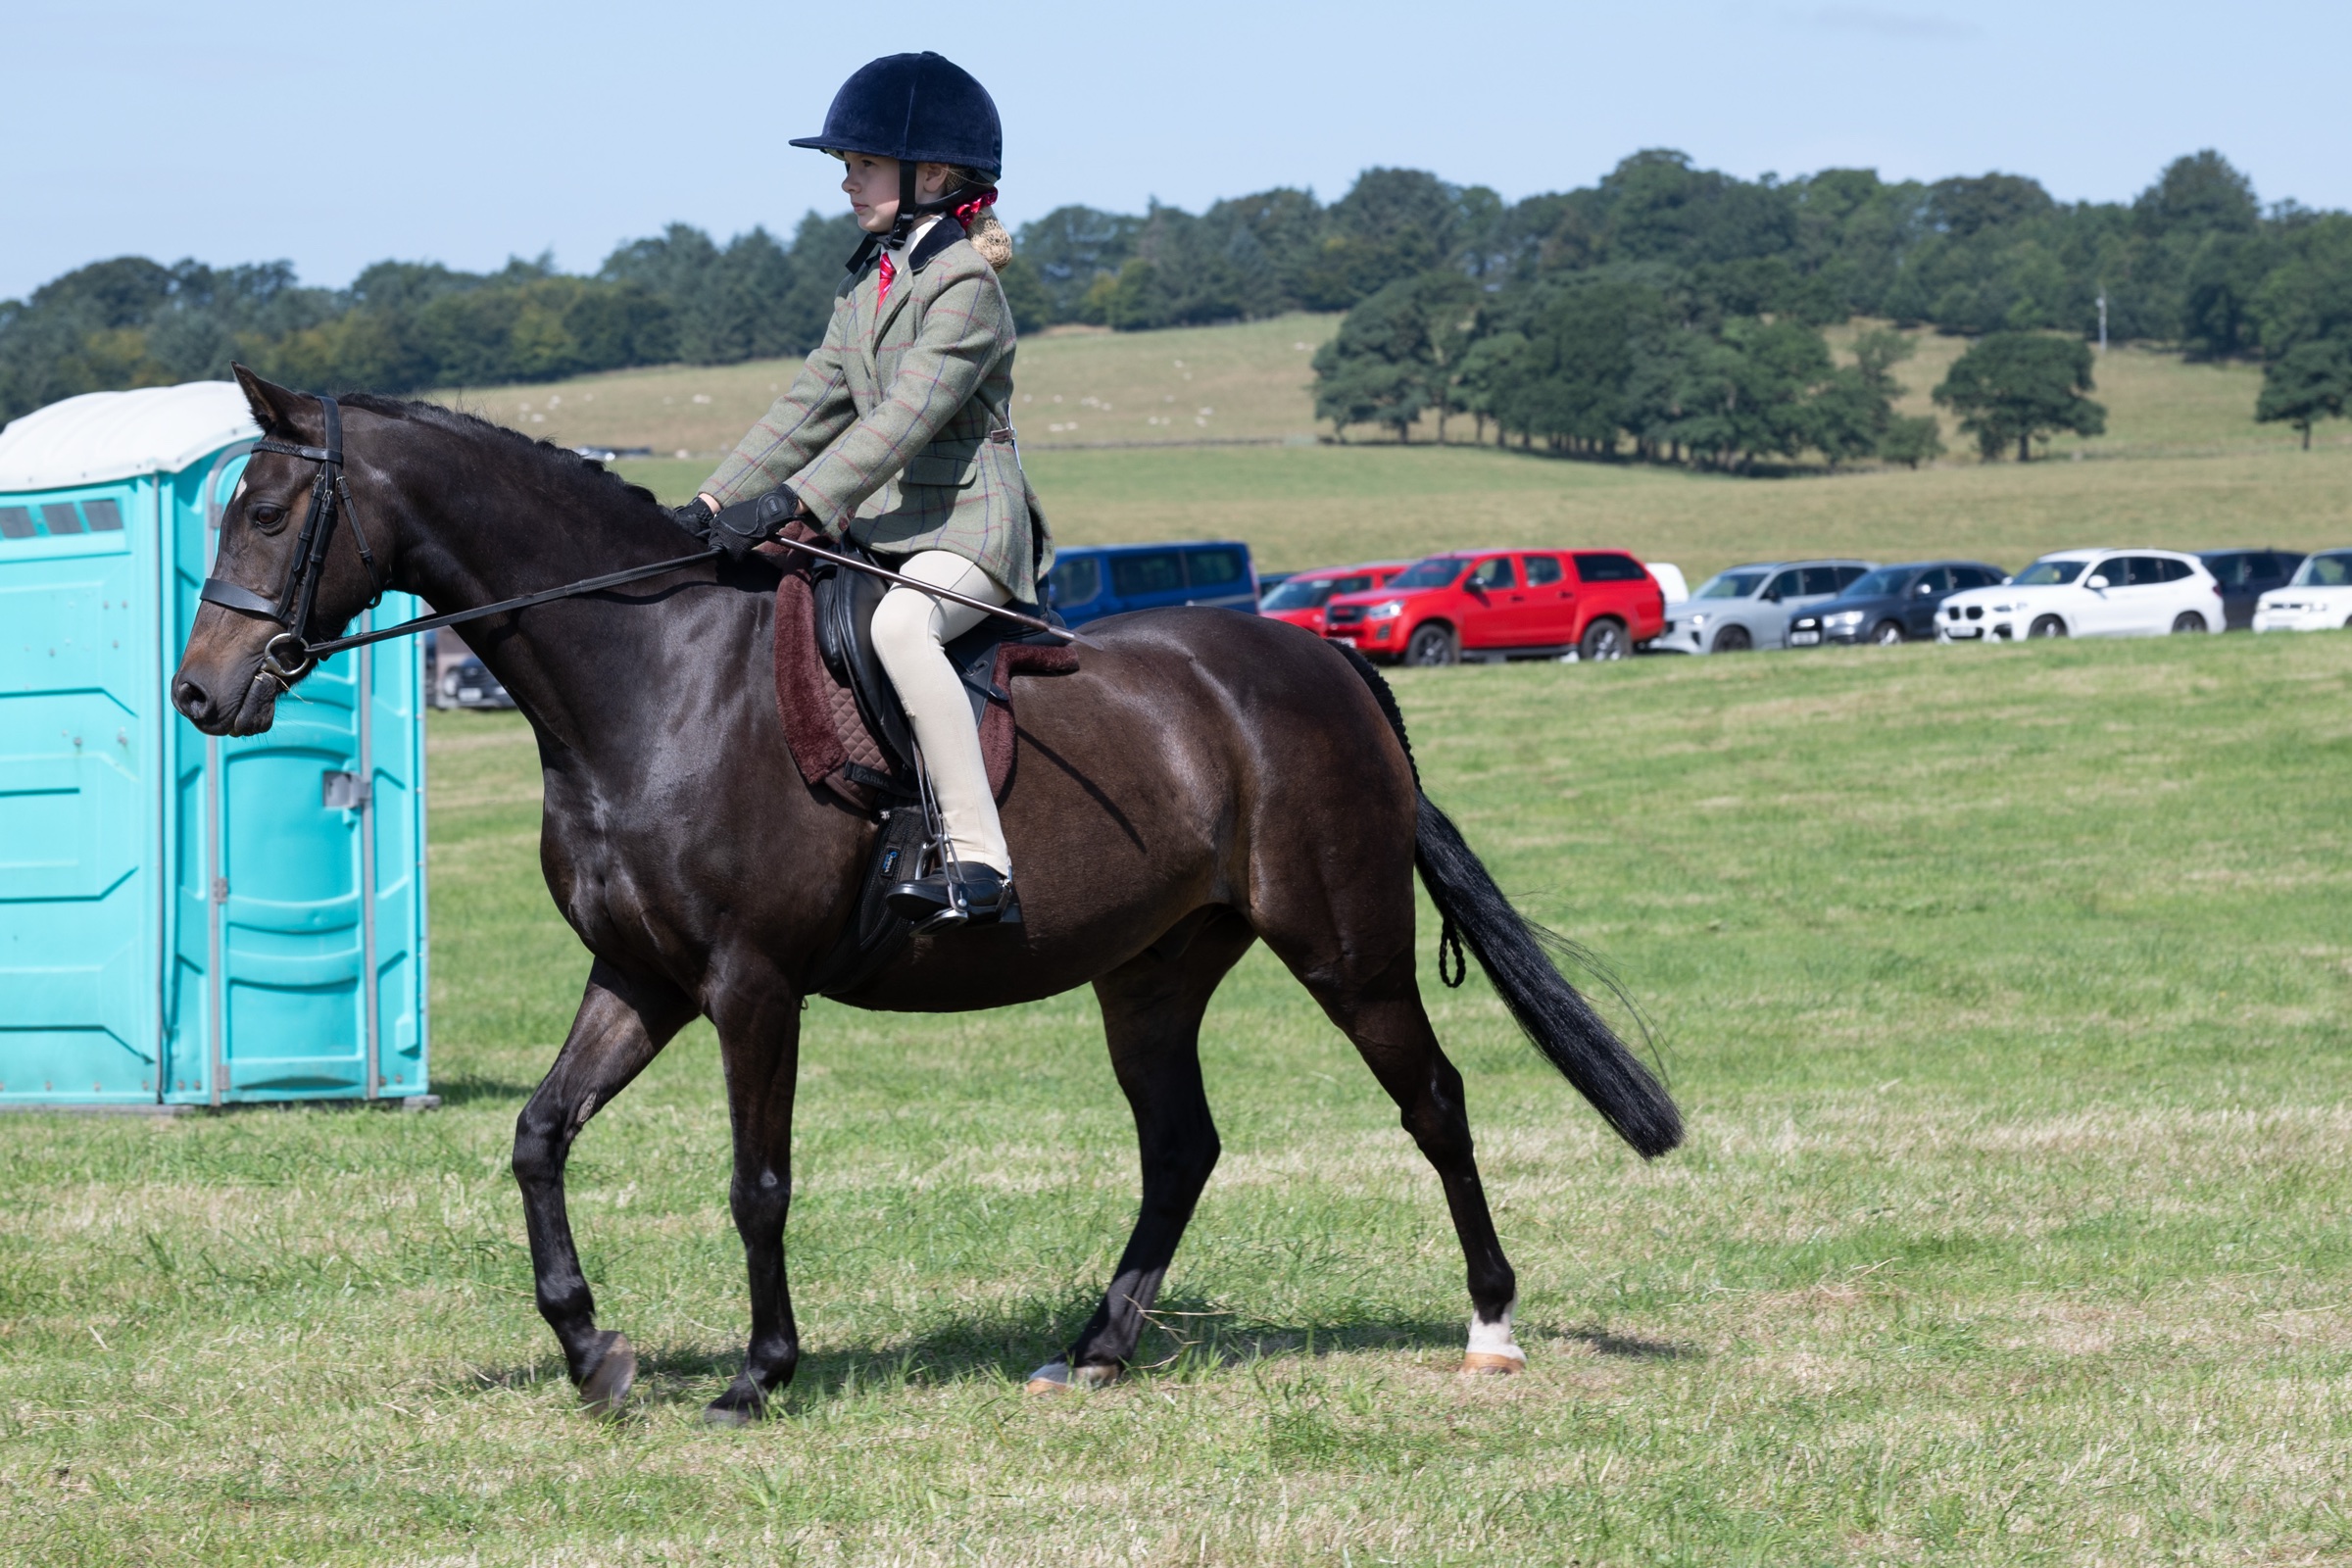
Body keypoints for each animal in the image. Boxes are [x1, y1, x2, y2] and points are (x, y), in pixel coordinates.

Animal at [172, 368, 1682, 1424]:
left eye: (271, 511)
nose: (201, 694)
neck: (652, 674)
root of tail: (1326, 662)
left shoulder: (748, 986)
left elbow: (757, 1182)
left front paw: (760, 1374)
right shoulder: (641, 977)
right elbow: (539, 1137)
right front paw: (594, 1351)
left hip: (1346, 949)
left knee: (1434, 1104)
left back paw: (1489, 1328)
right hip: (1152, 972)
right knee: (1181, 1147)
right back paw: (1094, 1351)